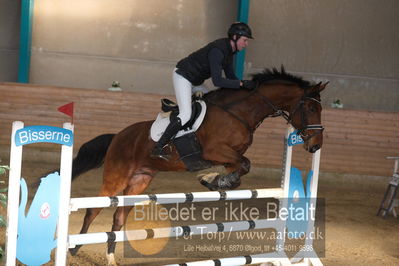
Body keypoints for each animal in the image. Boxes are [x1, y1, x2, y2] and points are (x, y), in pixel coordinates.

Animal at [68, 67, 328, 264]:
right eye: (311, 108)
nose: (316, 145)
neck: (238, 112)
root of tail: (118, 136)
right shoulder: (214, 150)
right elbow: (245, 164)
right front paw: (216, 180)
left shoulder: (227, 155)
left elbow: (239, 165)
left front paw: (215, 179)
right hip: (117, 176)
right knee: (93, 209)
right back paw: (74, 249)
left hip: (139, 181)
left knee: (118, 216)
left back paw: (110, 257)